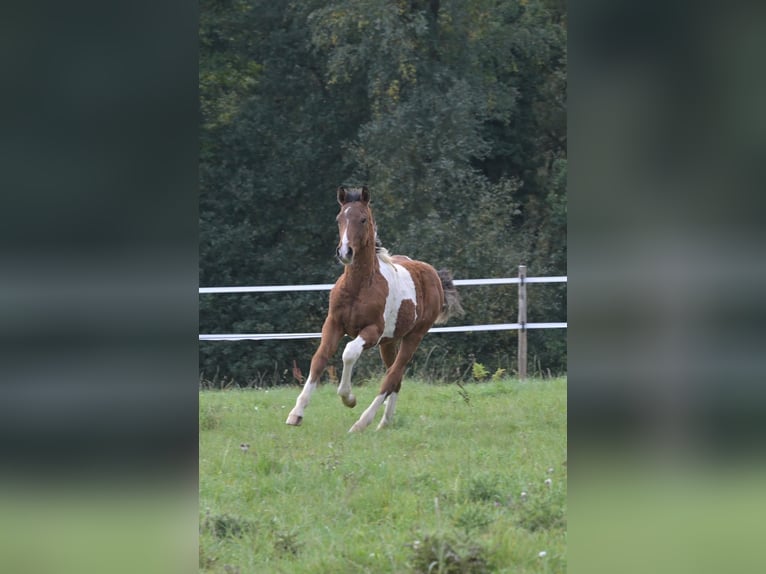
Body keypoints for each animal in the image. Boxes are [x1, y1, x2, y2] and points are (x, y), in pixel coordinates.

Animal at [286, 186, 463, 432]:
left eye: (362, 219)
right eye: (339, 219)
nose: (345, 252)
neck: (359, 286)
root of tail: (433, 274)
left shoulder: (372, 331)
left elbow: (349, 352)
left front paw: (348, 398)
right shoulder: (333, 324)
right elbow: (319, 359)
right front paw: (296, 413)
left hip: (414, 336)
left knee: (392, 375)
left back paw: (362, 423)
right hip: (390, 342)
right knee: (395, 377)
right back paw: (385, 422)